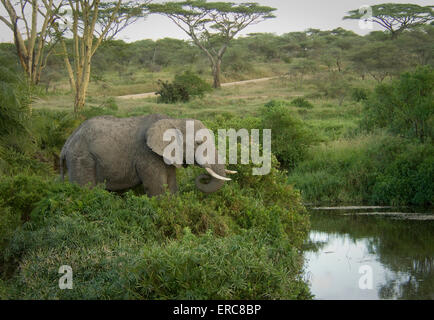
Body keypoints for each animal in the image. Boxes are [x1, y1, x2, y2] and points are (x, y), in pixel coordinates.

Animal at [59, 114, 236, 196]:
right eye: (199, 143)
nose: (203, 177)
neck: (174, 121)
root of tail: (65, 145)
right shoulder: (147, 155)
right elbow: (157, 188)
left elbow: (172, 185)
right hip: (81, 158)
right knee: (85, 190)